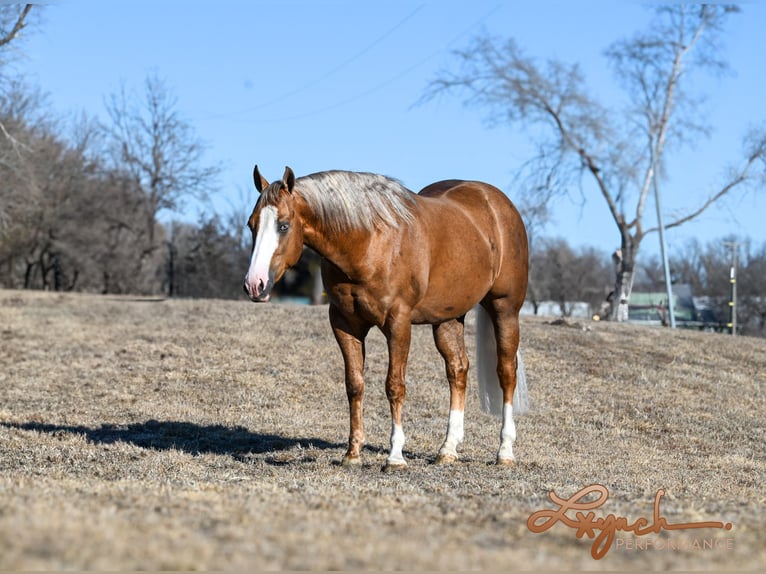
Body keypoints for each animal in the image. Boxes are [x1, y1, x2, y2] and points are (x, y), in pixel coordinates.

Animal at [244, 166, 528, 472]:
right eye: (251, 225)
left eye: (283, 225)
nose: (254, 285)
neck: (368, 242)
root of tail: (496, 202)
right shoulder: (345, 324)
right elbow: (354, 385)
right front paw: (352, 454)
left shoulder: (398, 324)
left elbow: (394, 386)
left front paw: (395, 456)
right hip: (448, 319)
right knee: (457, 370)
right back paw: (447, 450)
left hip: (505, 309)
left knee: (506, 373)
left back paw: (505, 452)